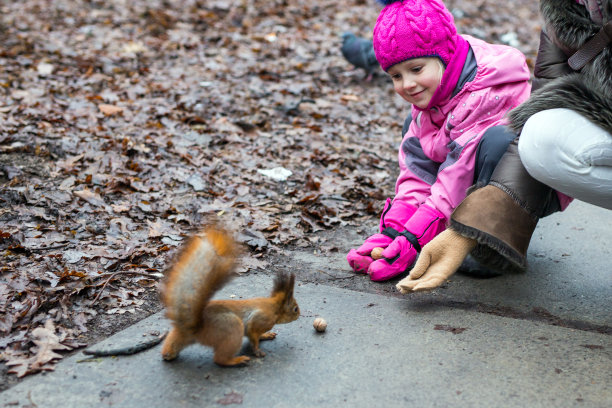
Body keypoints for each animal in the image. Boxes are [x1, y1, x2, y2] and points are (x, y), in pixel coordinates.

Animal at [159, 226, 300, 366]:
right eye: (295, 309)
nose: (299, 315)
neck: (274, 307)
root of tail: (195, 329)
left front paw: (265, 335)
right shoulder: (262, 318)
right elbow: (252, 333)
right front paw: (257, 350)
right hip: (231, 327)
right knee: (219, 359)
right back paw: (237, 360)